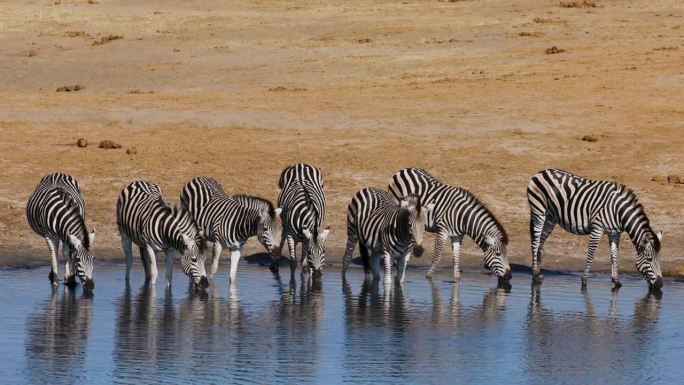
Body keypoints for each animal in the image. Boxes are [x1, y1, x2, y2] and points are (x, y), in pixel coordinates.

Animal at [528, 166, 664, 290]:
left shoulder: (615, 233)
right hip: (538, 211)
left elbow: (614, 256)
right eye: (649, 259)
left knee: (540, 242)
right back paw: (535, 275)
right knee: (535, 241)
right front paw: (584, 281)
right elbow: (591, 255)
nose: (660, 285)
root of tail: (541, 172)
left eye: (659, 259)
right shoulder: (597, 230)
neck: (619, 212)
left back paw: (539, 273)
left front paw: (616, 281)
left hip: (550, 218)